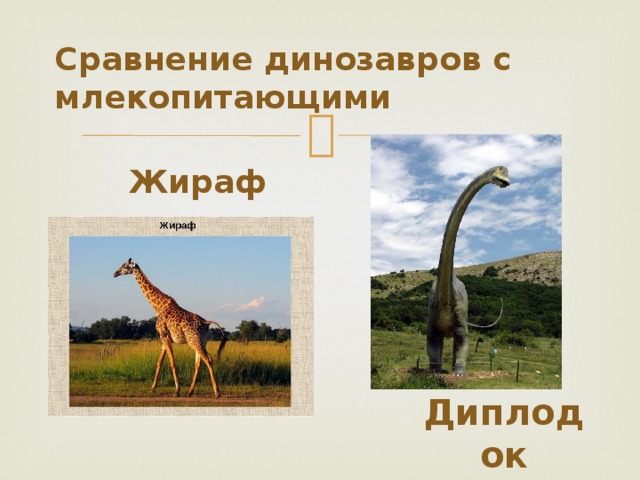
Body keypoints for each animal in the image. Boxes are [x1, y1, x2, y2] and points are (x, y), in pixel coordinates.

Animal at [113, 258, 227, 398]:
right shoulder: (163, 338)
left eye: (125, 266)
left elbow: (172, 362)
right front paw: (152, 389)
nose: (115, 273)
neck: (158, 307)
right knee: (198, 363)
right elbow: (159, 362)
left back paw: (217, 392)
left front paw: (176, 390)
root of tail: (206, 323)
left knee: (208, 360)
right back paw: (190, 392)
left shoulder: (165, 336)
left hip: (194, 342)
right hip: (200, 342)